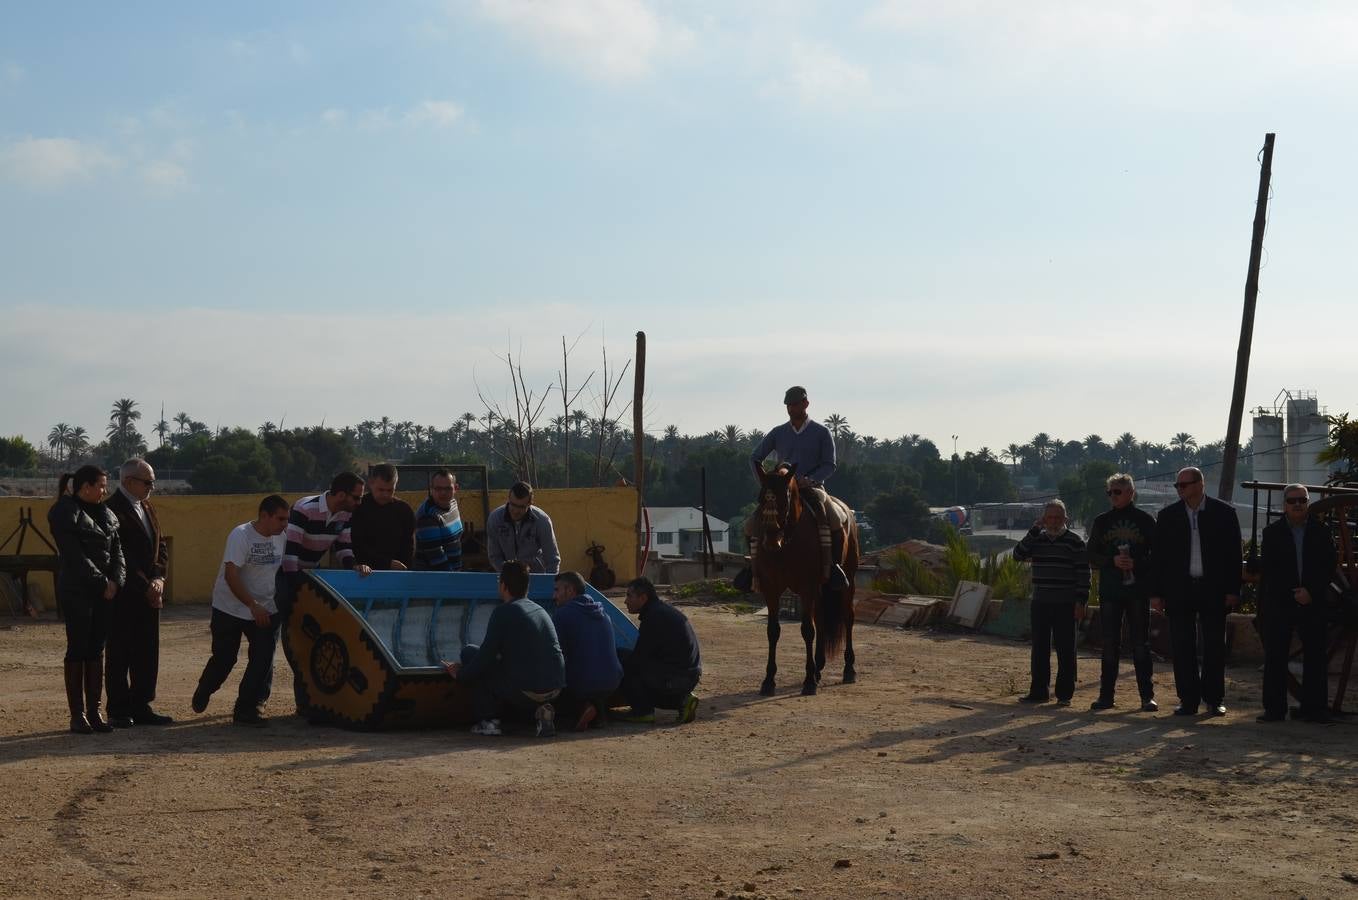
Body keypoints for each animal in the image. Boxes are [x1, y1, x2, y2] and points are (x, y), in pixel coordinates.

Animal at [755, 464, 858, 695]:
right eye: (761, 499)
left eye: (785, 498)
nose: (771, 540)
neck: (786, 544)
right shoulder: (771, 588)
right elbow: (772, 631)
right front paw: (768, 680)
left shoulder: (806, 587)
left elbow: (807, 630)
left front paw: (809, 681)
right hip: (820, 588)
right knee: (820, 618)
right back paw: (819, 667)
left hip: (848, 581)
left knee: (848, 618)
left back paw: (848, 669)